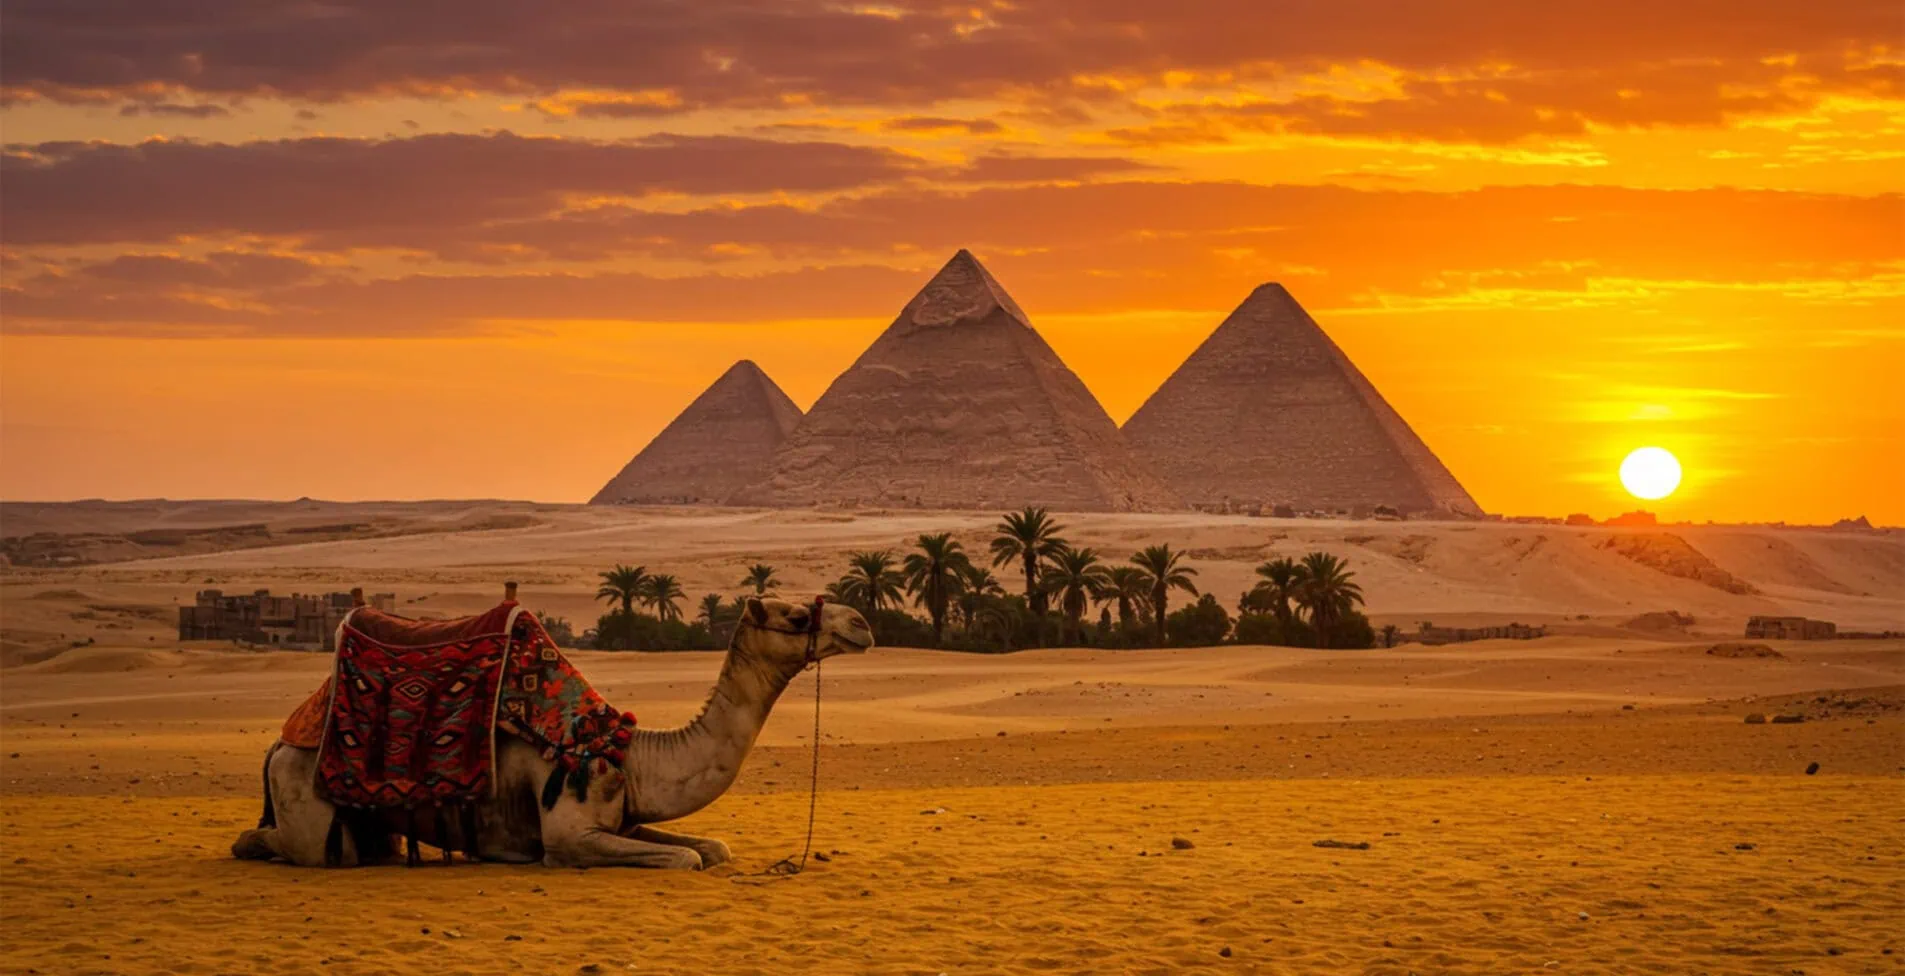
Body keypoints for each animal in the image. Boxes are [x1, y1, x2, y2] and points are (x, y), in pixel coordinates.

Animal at [231, 597, 872, 869]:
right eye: (796, 616)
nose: (862, 623)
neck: (629, 753)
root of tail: (279, 741)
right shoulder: (570, 834)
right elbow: (687, 860)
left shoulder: (625, 819)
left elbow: (713, 849)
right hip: (302, 797)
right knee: (280, 844)